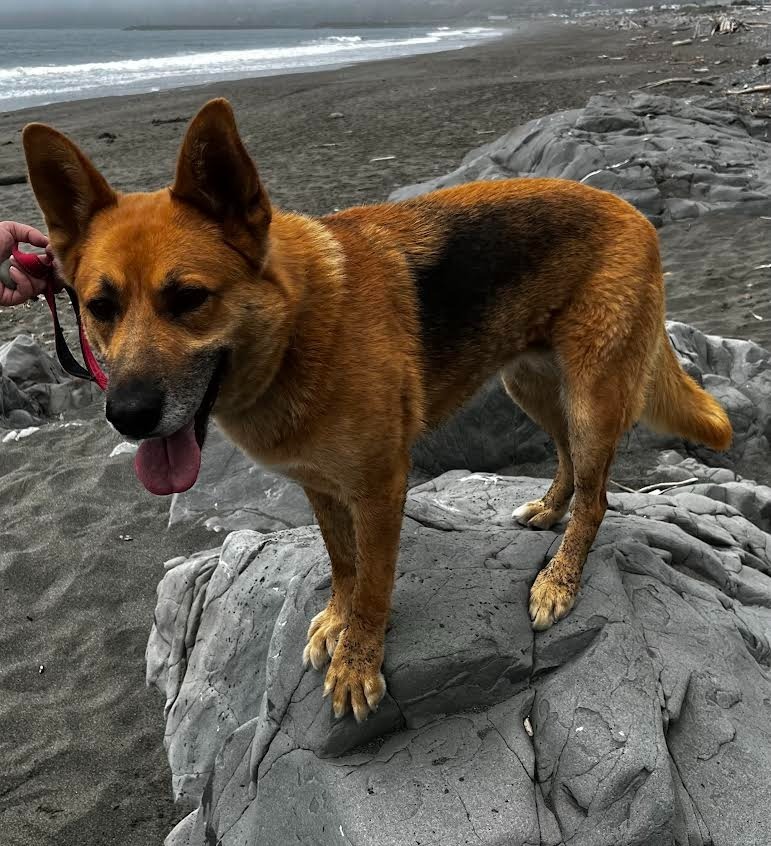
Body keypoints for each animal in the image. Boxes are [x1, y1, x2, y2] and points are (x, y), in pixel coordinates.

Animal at [22, 97, 728, 724]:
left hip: (590, 400)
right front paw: (339, 622)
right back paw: (549, 509)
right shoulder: (322, 486)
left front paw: (357, 660)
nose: (128, 415)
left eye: (189, 299)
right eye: (100, 307)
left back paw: (559, 579)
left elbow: (372, 583)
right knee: (569, 465)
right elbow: (343, 564)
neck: (299, 328)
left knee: (597, 496)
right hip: (528, 387)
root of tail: (630, 210)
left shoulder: (380, 487)